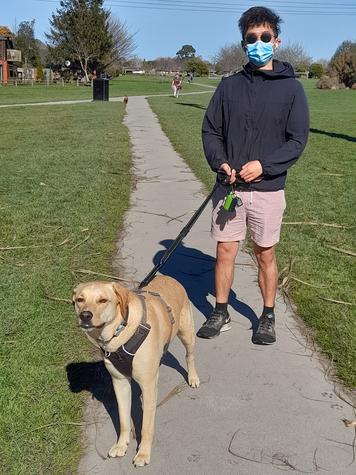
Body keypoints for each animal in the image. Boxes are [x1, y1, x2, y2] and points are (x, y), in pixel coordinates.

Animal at [73, 278, 199, 466]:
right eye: (80, 300)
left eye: (103, 300)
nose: (85, 315)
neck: (120, 331)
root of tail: (169, 277)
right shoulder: (119, 382)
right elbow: (124, 419)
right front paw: (121, 445)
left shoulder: (148, 387)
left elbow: (146, 425)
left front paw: (143, 454)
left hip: (187, 333)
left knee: (189, 355)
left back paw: (193, 377)